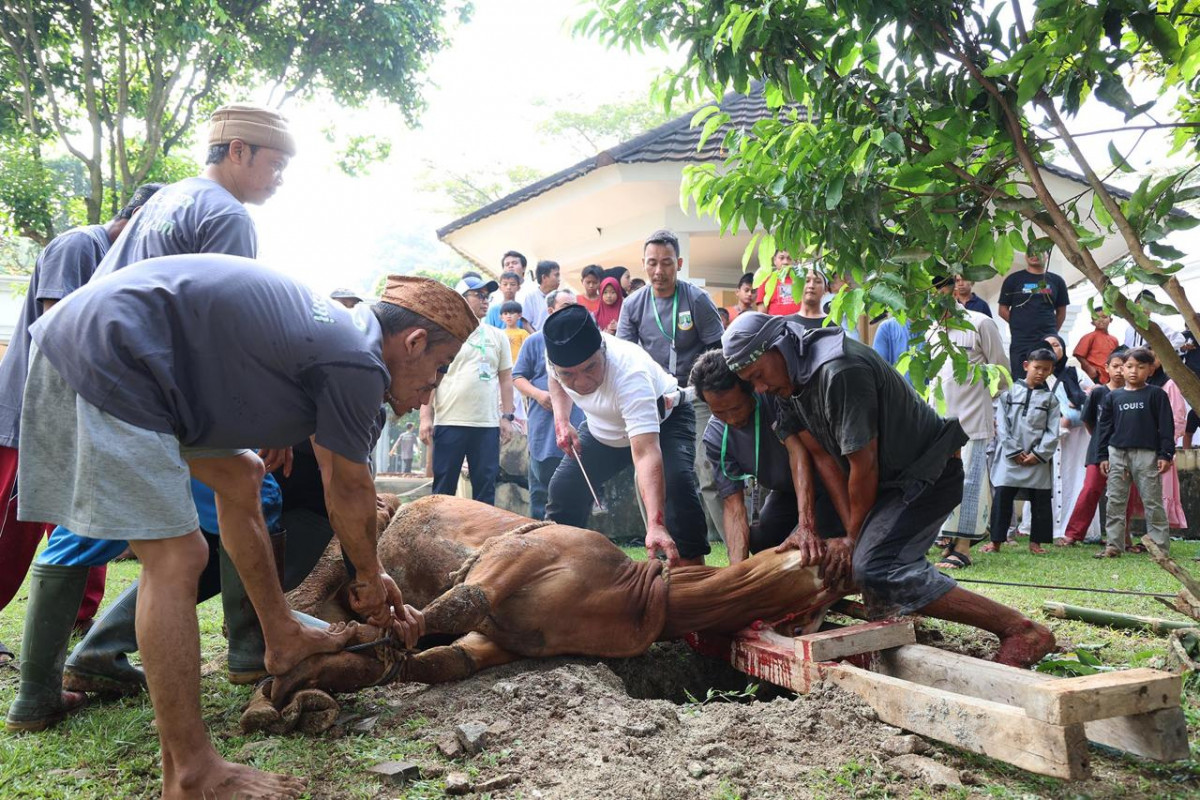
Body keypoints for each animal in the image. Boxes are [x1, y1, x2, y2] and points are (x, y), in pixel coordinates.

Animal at [270, 496, 854, 710]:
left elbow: (436, 659)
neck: (643, 595)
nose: (850, 556)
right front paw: (300, 678)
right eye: (823, 564)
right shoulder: (510, 561)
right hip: (364, 524)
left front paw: (314, 683)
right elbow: (454, 604)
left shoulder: (504, 641)